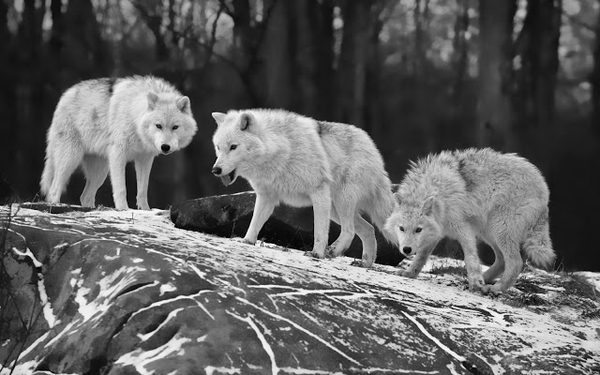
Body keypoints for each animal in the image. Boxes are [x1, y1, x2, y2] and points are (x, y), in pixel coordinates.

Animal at [40, 75, 199, 212]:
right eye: (158, 126)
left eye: (175, 127)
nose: (165, 147)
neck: (134, 115)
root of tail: (66, 94)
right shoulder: (118, 154)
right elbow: (121, 189)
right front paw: (123, 209)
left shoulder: (145, 159)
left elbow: (142, 190)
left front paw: (145, 210)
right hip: (71, 159)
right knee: (54, 189)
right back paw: (55, 206)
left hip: (100, 171)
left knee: (85, 196)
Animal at [211, 108, 398, 268]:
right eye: (218, 147)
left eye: (233, 147)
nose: (215, 170)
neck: (281, 150)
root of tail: (374, 149)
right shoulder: (266, 197)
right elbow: (255, 223)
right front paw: (247, 242)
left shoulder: (318, 192)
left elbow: (319, 231)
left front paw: (316, 254)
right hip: (335, 209)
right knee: (369, 229)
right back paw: (365, 263)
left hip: (341, 201)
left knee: (350, 230)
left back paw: (333, 252)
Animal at [384, 148, 552, 296]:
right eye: (401, 228)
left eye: (418, 230)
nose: (406, 249)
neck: (439, 192)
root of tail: (544, 189)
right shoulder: (436, 232)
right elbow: (421, 257)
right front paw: (409, 273)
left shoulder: (463, 228)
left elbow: (470, 257)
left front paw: (476, 281)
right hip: (489, 232)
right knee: (502, 261)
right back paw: (484, 280)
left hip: (499, 230)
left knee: (516, 262)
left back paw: (495, 288)